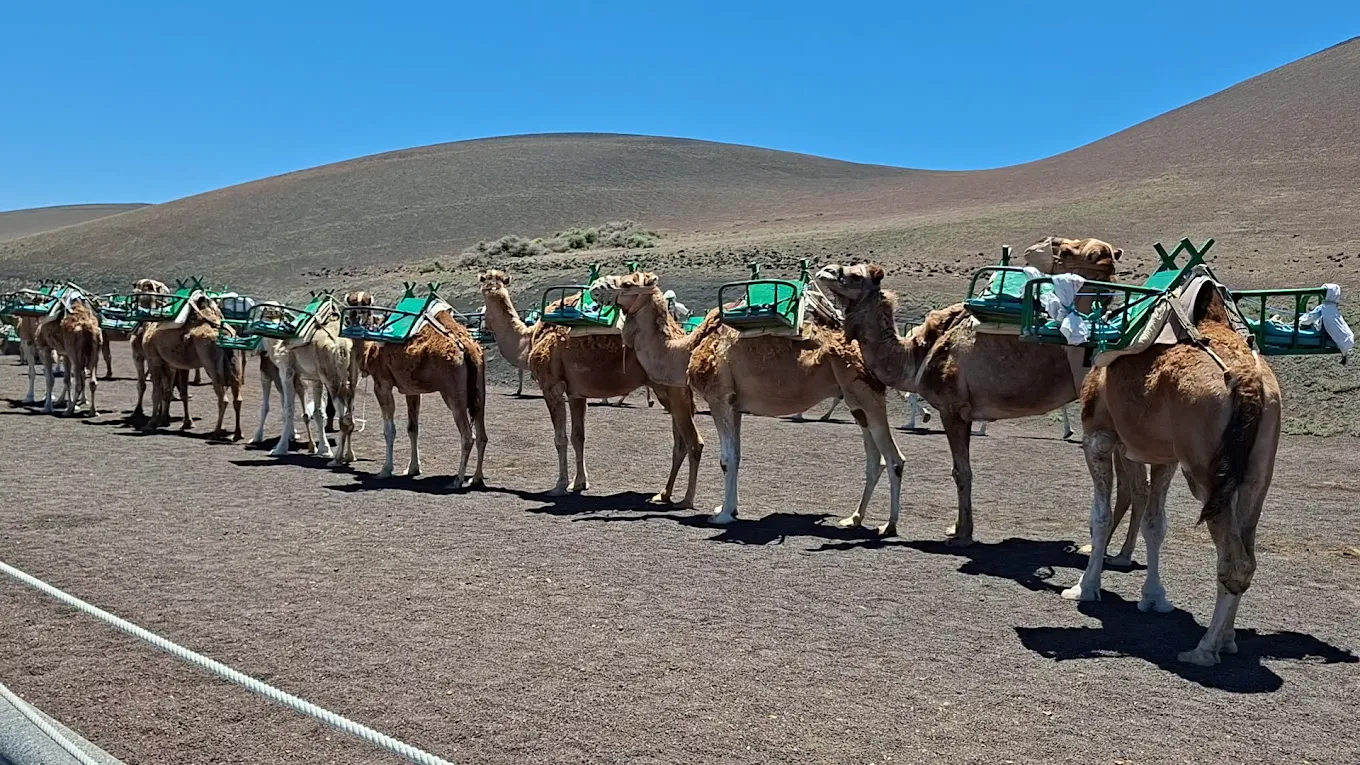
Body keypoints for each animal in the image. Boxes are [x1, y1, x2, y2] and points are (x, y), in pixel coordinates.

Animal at [141, 293, 245, 439]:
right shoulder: (178, 365)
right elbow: (180, 393)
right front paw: (185, 423)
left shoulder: (154, 360)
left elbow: (156, 393)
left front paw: (151, 423)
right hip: (235, 364)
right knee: (238, 398)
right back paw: (237, 434)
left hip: (211, 365)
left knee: (223, 399)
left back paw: (216, 432)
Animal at [346, 291, 487, 487]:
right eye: (351, 303)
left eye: (365, 305)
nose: (353, 319)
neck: (370, 348)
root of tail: (467, 348)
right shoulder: (412, 390)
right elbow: (413, 428)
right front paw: (412, 468)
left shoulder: (382, 383)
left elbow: (389, 430)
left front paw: (385, 470)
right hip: (479, 389)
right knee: (482, 434)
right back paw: (476, 478)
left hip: (452, 391)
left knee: (468, 436)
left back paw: (457, 480)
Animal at [591, 271, 904, 533]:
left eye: (627, 283)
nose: (595, 288)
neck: (688, 349)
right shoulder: (736, 405)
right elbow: (737, 456)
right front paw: (729, 507)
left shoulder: (719, 397)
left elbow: (726, 458)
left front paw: (722, 515)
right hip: (855, 400)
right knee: (874, 458)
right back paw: (854, 518)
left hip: (866, 394)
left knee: (894, 458)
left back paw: (888, 526)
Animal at [814, 237, 1121, 546]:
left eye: (856, 276)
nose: (825, 271)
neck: (918, 354)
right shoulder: (967, 412)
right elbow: (962, 469)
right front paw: (956, 527)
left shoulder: (953, 409)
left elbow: (961, 471)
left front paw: (962, 534)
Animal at [1065, 273, 1281, 667]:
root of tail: (1247, 380)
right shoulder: (1160, 455)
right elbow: (1154, 523)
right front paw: (1154, 598)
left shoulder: (1099, 439)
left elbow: (1099, 517)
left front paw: (1084, 588)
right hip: (1255, 473)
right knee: (1248, 553)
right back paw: (1227, 640)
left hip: (1205, 473)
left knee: (1234, 560)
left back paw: (1204, 650)